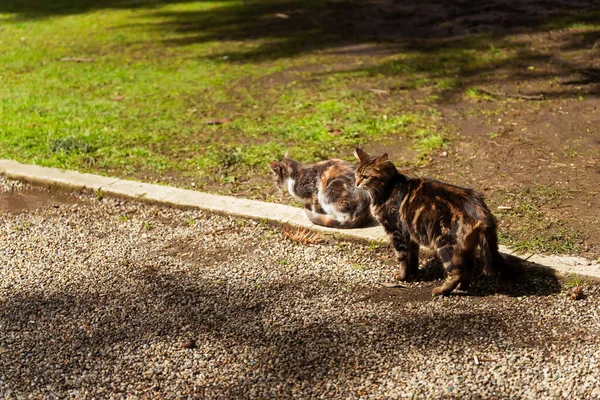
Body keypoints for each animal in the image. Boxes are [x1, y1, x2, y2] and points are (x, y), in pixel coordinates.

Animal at [354, 148, 516, 296]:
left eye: (365, 176)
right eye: (356, 175)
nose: (356, 184)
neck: (388, 187)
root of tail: (480, 209)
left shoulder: (396, 232)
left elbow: (402, 257)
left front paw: (402, 277)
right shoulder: (410, 234)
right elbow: (413, 256)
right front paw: (413, 273)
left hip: (445, 244)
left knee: (457, 272)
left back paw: (441, 290)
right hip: (466, 248)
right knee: (468, 269)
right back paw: (461, 287)